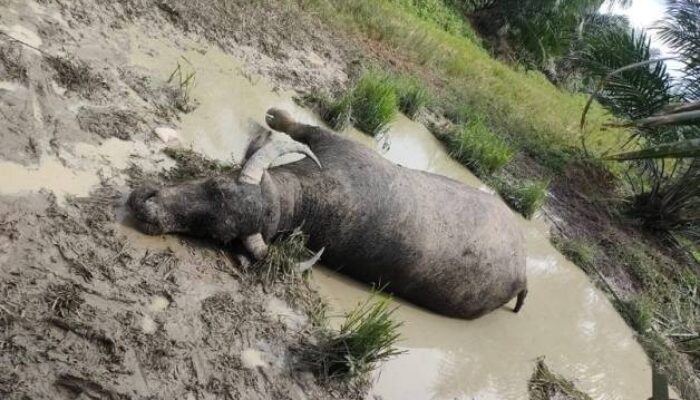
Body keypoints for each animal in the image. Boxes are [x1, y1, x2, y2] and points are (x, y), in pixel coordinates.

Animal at [130, 108, 524, 318]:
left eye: (219, 234)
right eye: (216, 183)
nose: (146, 206)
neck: (312, 196)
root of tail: (522, 273)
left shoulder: (331, 143)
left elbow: (300, 126)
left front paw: (274, 115)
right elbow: (297, 127)